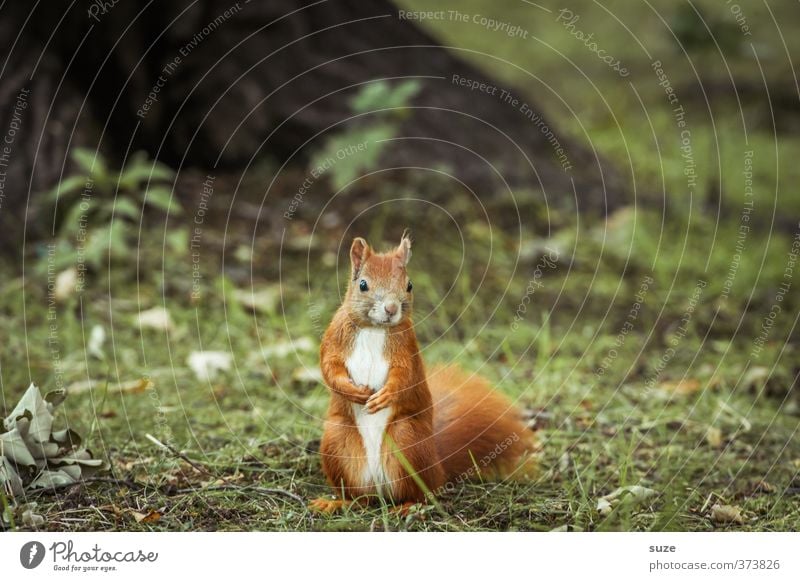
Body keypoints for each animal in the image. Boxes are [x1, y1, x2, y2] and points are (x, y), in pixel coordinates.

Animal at [312, 233, 536, 510]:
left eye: (409, 285)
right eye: (363, 284)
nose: (391, 309)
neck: (374, 329)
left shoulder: (406, 350)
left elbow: (404, 376)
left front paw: (385, 395)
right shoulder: (334, 339)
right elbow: (329, 367)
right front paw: (352, 391)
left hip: (407, 440)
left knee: (421, 493)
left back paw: (407, 507)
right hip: (337, 440)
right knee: (360, 499)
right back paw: (338, 503)